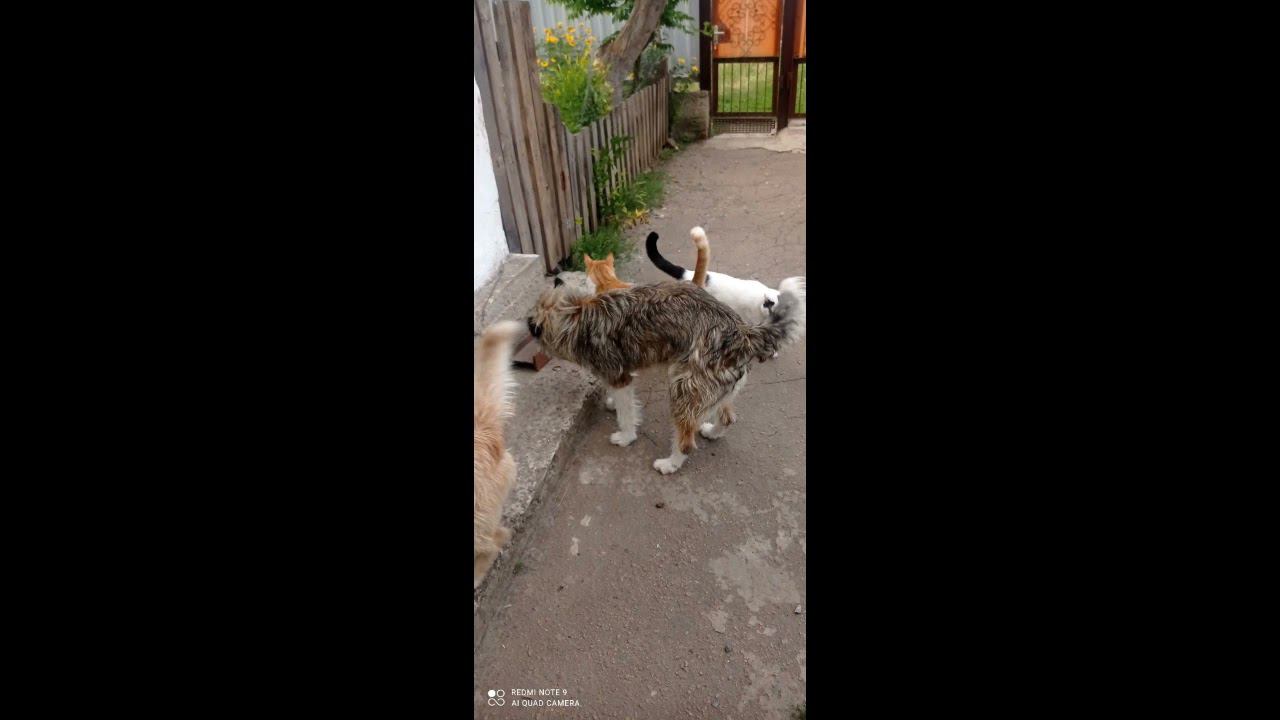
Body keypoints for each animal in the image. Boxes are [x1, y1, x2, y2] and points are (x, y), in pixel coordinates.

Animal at [528, 276, 805, 474]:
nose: (530, 326)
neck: (580, 316)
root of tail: (743, 333)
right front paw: (610, 403)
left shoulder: (620, 376)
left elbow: (626, 414)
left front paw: (625, 437)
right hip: (718, 389)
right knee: (727, 418)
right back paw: (712, 432)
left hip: (685, 390)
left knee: (686, 441)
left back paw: (670, 464)